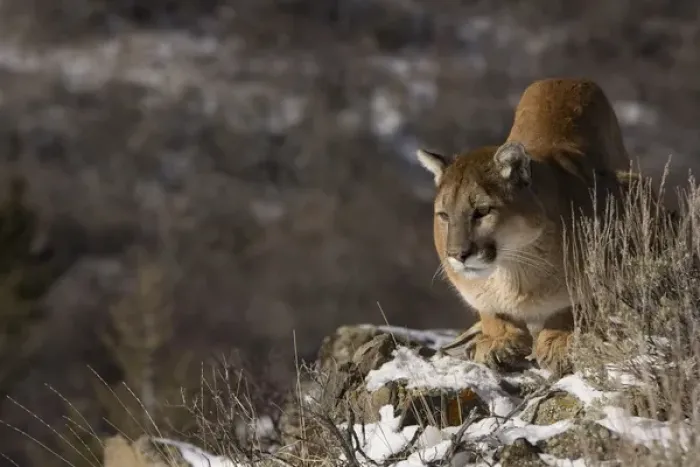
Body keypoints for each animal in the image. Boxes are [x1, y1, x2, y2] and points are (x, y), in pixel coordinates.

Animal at [416, 78, 635, 376]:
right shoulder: (476, 290)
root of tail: (565, 78)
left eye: (482, 211)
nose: (457, 255)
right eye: (444, 215)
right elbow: (490, 310)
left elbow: (570, 306)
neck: (511, 269)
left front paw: (559, 341)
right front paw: (500, 340)